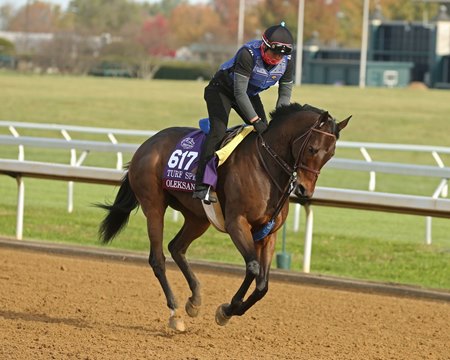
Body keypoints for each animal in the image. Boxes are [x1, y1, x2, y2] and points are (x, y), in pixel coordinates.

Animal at [97, 103, 352, 332]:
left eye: (331, 154)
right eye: (312, 149)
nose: (304, 190)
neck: (266, 167)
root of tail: (146, 145)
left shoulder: (268, 233)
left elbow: (263, 285)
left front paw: (229, 310)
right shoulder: (237, 223)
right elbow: (253, 267)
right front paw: (227, 310)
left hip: (198, 217)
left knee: (176, 247)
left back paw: (195, 301)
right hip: (154, 206)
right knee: (157, 258)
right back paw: (175, 313)